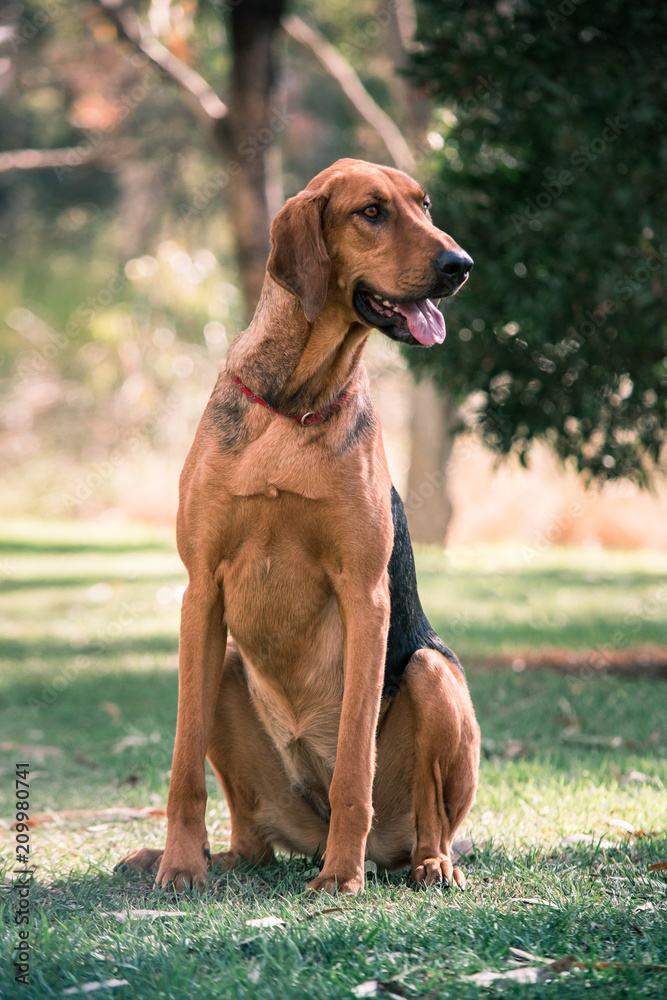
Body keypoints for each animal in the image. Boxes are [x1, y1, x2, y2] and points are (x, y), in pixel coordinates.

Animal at [116, 160, 480, 896]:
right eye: (372, 211)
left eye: (424, 205)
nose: (460, 265)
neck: (295, 402)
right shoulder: (200, 592)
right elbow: (182, 768)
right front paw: (179, 865)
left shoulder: (365, 594)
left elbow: (354, 768)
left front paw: (341, 879)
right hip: (228, 667)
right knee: (253, 840)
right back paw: (218, 859)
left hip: (432, 675)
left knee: (428, 815)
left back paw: (422, 863)